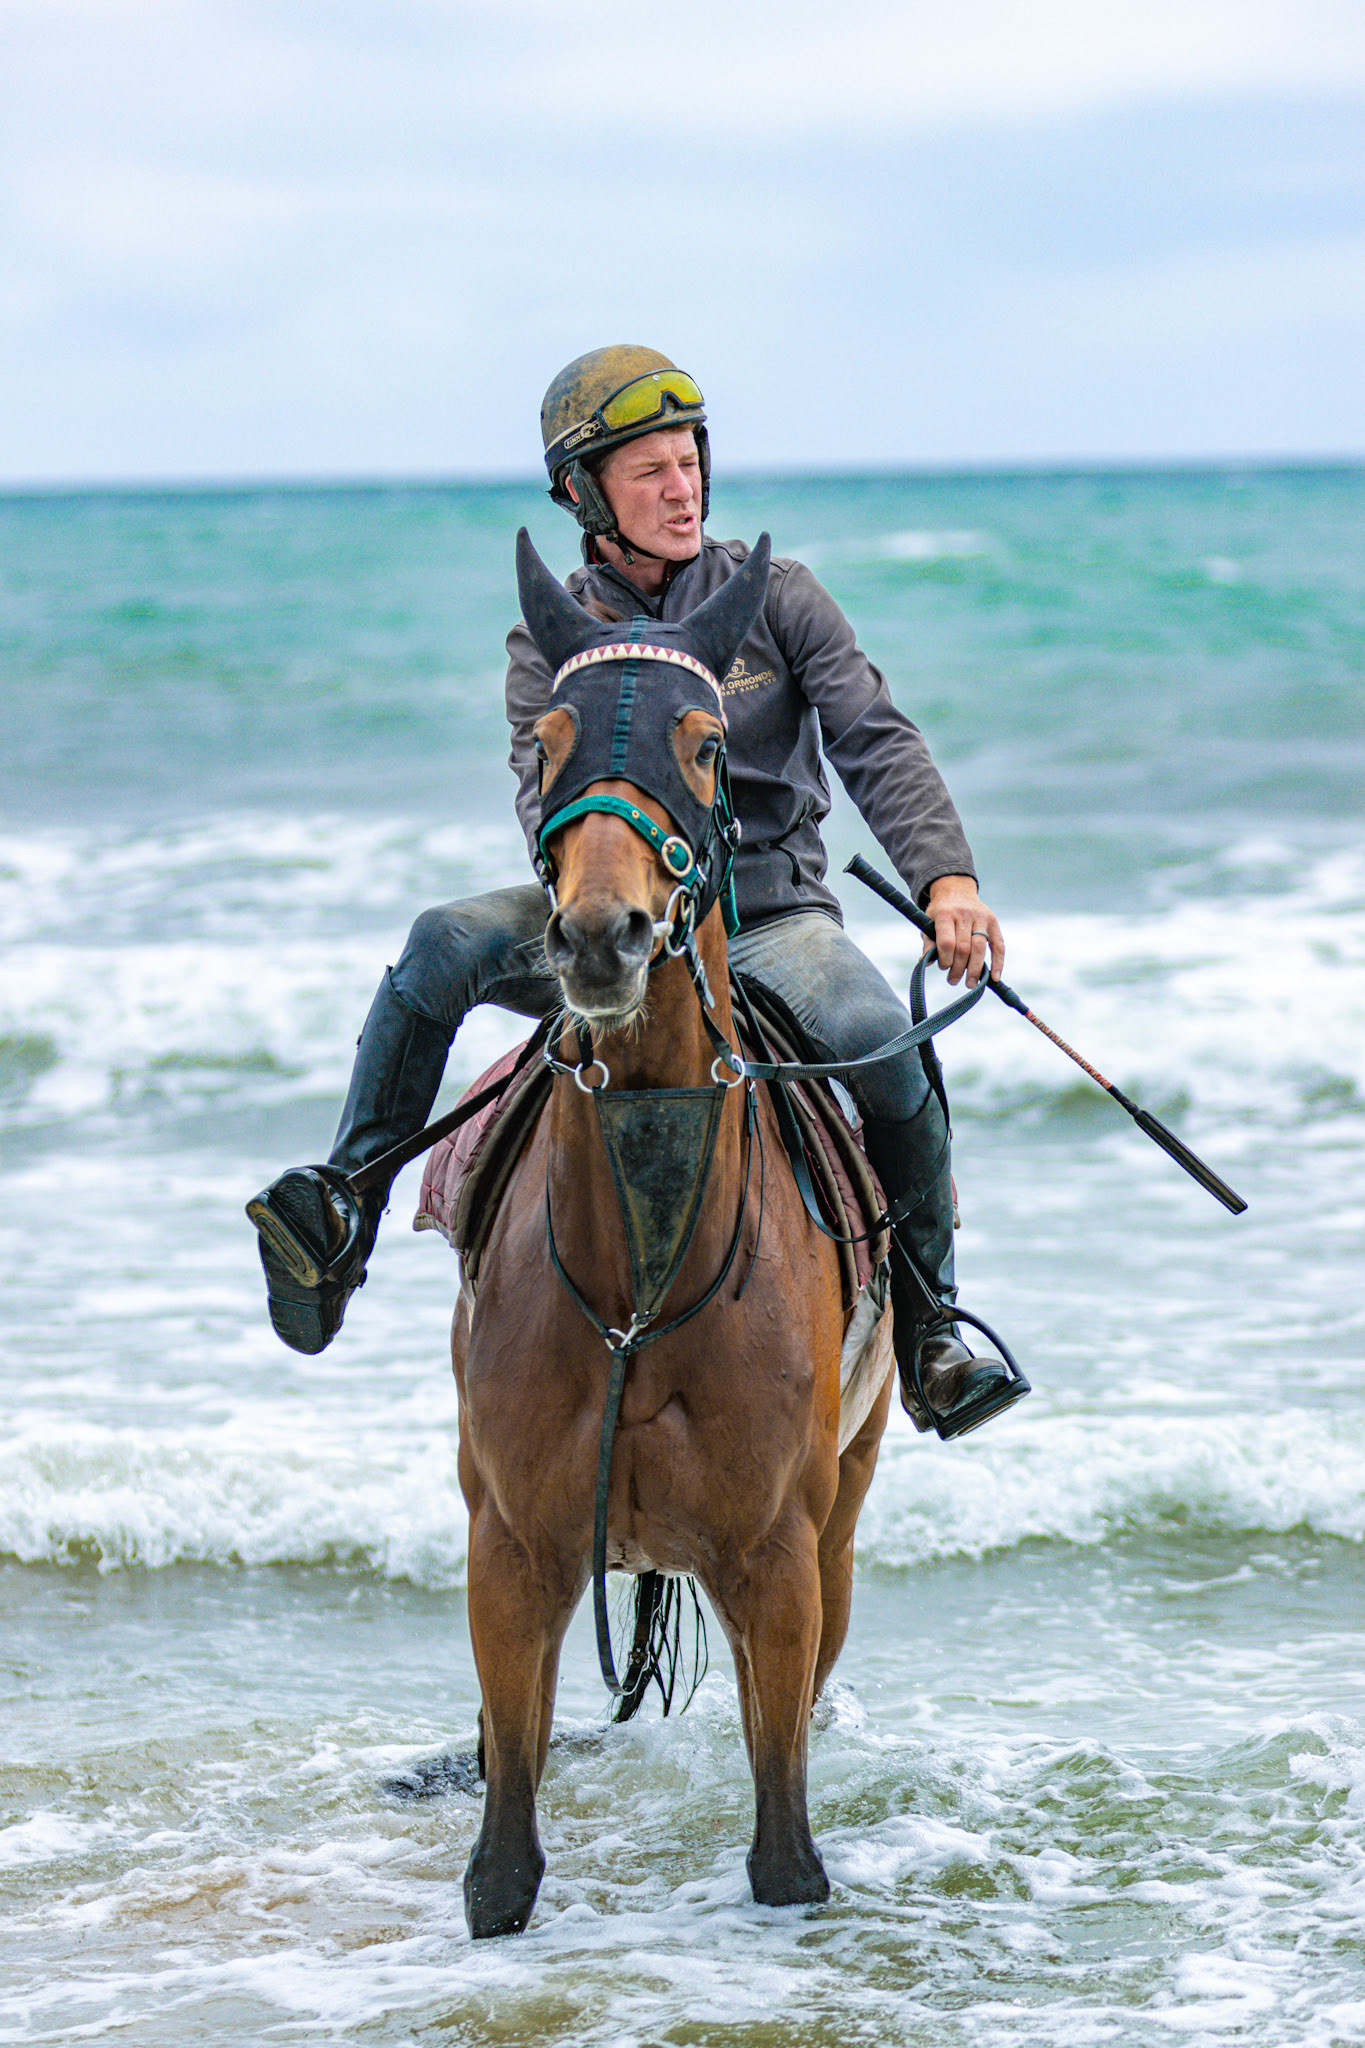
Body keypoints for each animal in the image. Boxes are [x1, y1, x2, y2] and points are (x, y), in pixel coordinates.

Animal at [450, 530, 894, 1938]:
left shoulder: (777, 1560)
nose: (604, 936)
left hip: (845, 1511)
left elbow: (786, 1853)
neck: (640, 1284)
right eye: (544, 736)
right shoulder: (512, 1551)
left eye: (706, 742)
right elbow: (501, 1870)